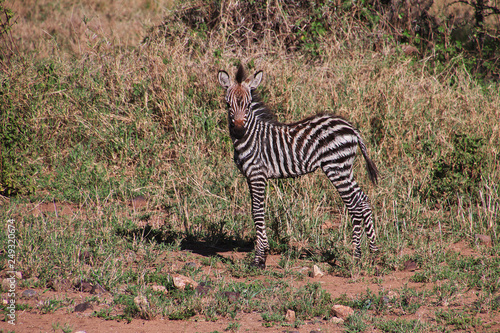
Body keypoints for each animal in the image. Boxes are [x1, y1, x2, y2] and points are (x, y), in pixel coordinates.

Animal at [217, 64, 376, 268]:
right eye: (228, 104)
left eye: (247, 104)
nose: (238, 131)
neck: (251, 136)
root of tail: (351, 128)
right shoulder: (250, 176)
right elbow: (256, 210)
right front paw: (263, 253)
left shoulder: (257, 174)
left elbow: (257, 212)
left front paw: (259, 258)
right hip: (345, 169)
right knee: (363, 200)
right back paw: (373, 253)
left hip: (336, 168)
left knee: (354, 205)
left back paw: (356, 257)